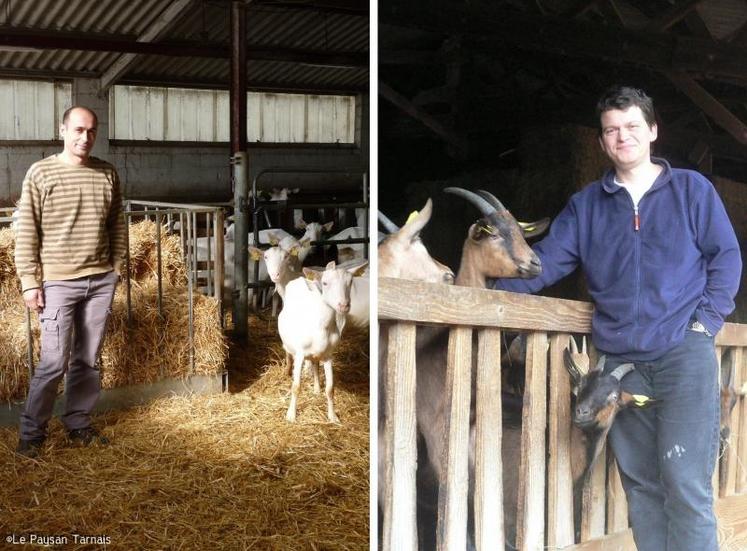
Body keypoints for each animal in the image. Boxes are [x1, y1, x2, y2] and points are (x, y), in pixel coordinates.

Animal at [278, 260, 368, 424]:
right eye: (325, 283)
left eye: (351, 282)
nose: (343, 305)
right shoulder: (300, 353)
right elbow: (296, 386)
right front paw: (291, 415)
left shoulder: (328, 355)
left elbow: (330, 388)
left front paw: (333, 416)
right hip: (288, 343)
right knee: (288, 352)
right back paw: (286, 371)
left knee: (315, 364)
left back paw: (316, 388)